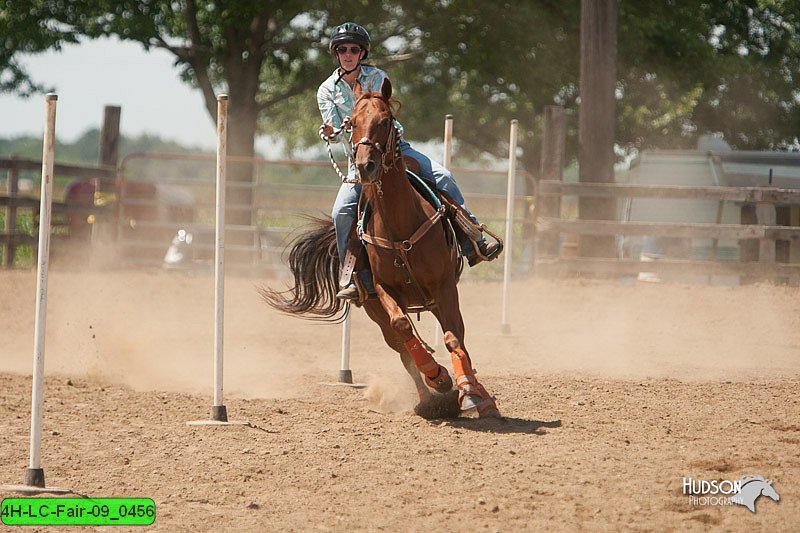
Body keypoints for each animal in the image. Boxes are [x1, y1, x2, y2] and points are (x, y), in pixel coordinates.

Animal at [262, 78, 500, 420]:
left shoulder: (444, 287)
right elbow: (403, 328)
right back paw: (431, 398)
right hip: (374, 310)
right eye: (350, 124)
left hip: (437, 301)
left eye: (386, 120)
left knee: (456, 339)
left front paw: (469, 392)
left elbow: (454, 339)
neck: (400, 225)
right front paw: (438, 377)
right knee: (402, 348)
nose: (365, 166)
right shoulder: (383, 289)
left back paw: (477, 395)